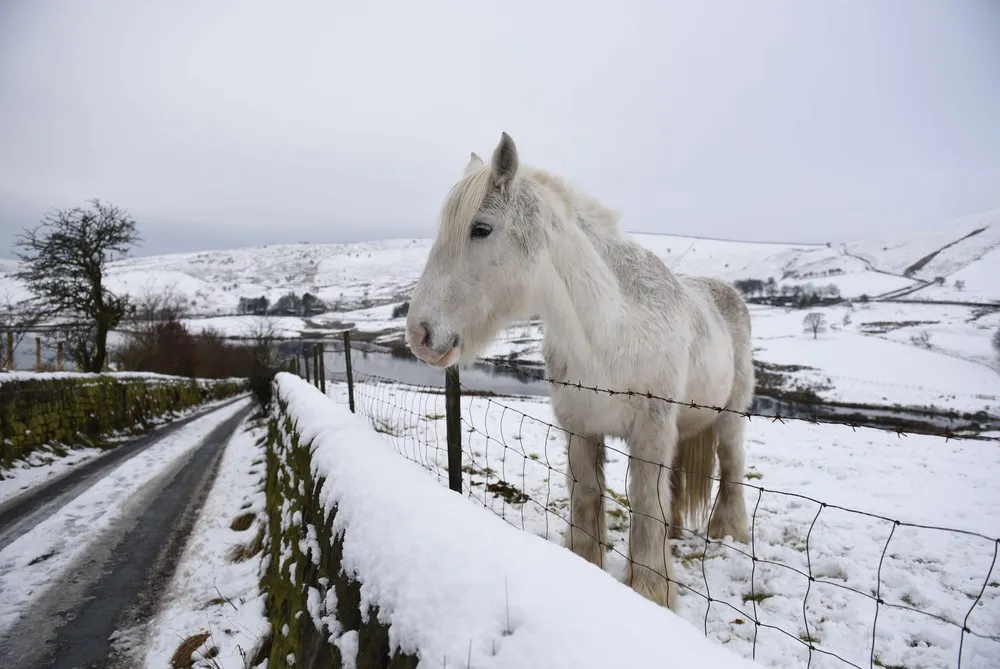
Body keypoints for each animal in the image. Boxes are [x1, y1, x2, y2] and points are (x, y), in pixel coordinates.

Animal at [404, 132, 752, 612]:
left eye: (481, 229)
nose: (419, 335)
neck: (610, 331)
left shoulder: (651, 433)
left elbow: (646, 505)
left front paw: (651, 591)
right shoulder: (581, 429)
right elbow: (587, 497)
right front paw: (586, 566)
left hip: (730, 419)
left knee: (731, 466)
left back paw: (728, 534)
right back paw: (679, 531)